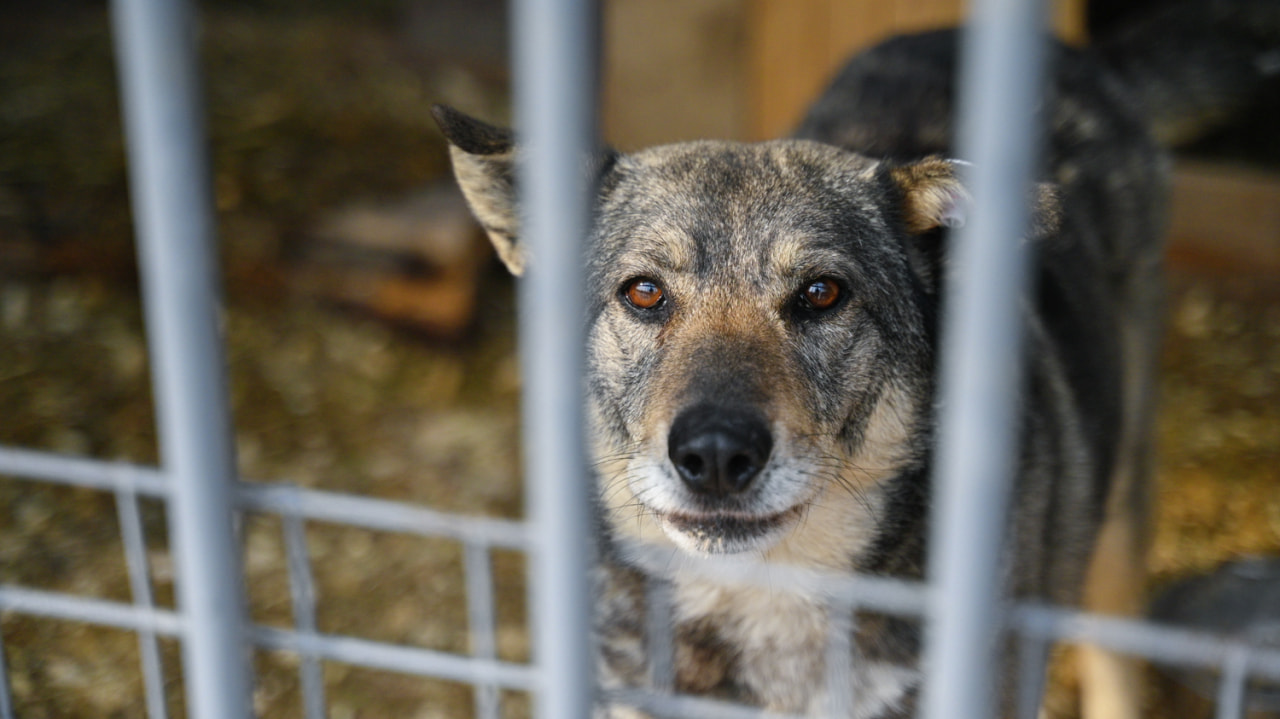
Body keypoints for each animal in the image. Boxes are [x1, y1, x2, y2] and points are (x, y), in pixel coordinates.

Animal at [432, 2, 1280, 711]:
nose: (714, 455)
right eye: (644, 293)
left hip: (1116, 534)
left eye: (821, 293)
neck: (765, 603)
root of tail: (1077, 55)